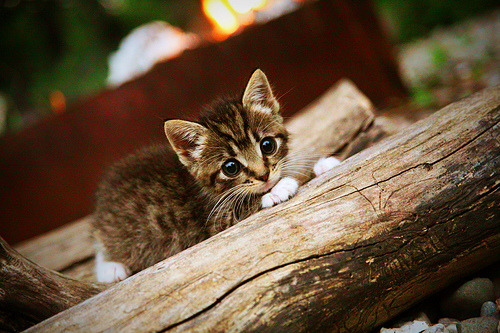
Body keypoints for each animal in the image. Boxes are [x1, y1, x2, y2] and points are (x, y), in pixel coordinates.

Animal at [92, 68, 340, 282]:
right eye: (231, 167)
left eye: (267, 145)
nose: (264, 175)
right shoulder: (214, 221)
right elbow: (247, 203)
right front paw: (279, 189)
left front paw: (321, 165)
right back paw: (112, 268)